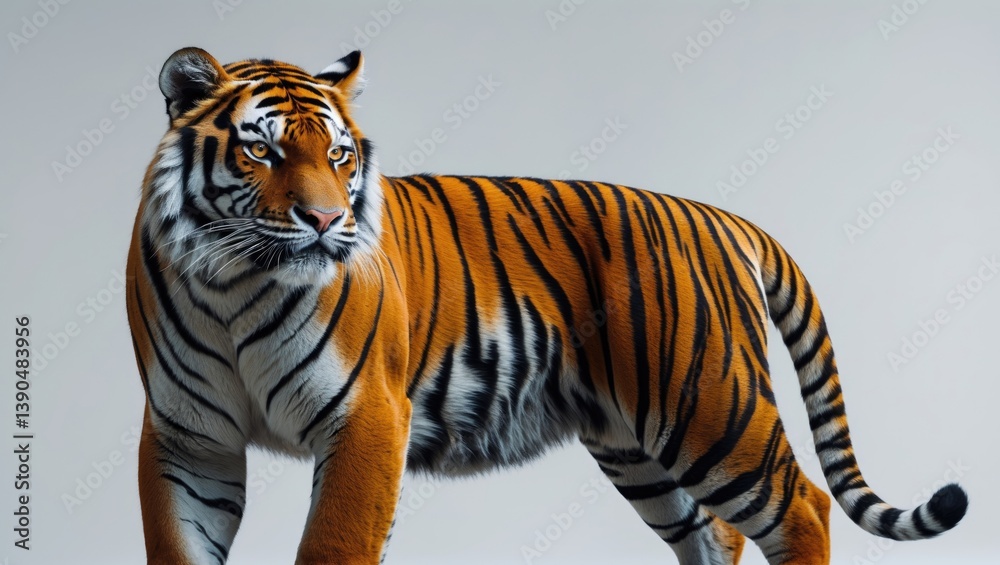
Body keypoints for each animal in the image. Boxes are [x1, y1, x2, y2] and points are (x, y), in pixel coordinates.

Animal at [125, 47, 968, 565]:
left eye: (338, 154)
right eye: (260, 150)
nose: (327, 220)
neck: (233, 283)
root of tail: (722, 217)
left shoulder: (365, 415)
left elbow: (333, 544)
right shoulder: (188, 435)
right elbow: (176, 543)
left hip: (709, 409)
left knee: (803, 505)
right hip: (637, 443)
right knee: (717, 531)